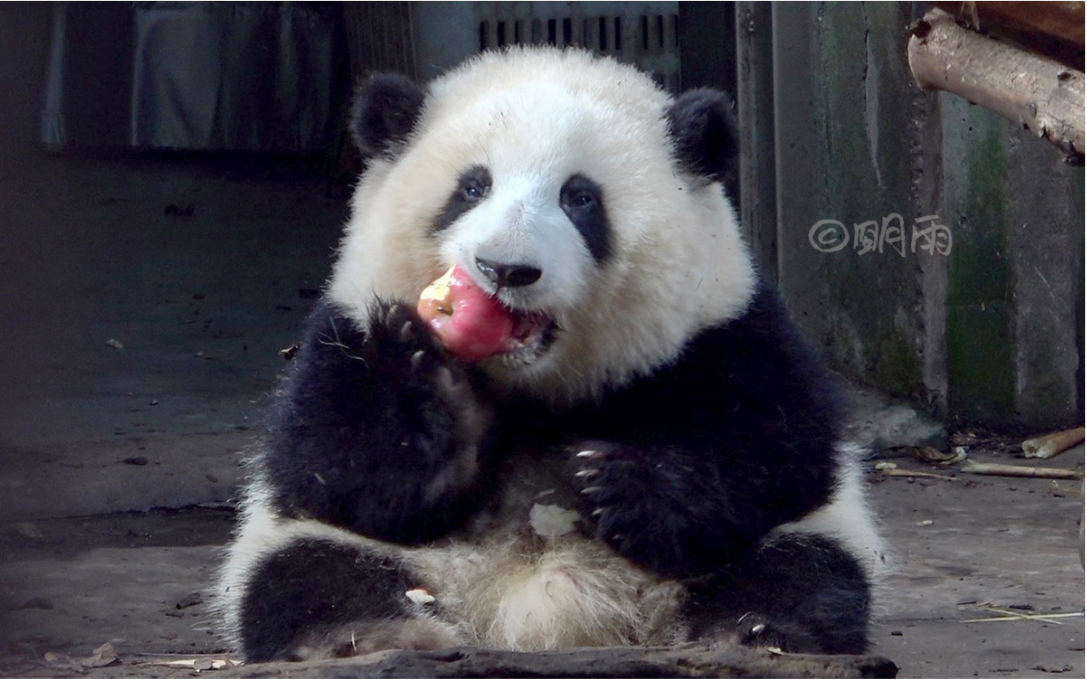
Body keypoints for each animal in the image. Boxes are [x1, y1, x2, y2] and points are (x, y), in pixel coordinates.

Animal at [218, 47, 882, 660]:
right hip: (346, 556)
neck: (533, 391)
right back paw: (367, 638)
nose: (504, 268)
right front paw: (436, 388)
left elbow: (779, 451)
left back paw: (752, 635)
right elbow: (336, 466)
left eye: (579, 198)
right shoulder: (345, 326)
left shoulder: (725, 328)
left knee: (797, 569)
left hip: (777, 552)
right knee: (307, 575)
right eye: (472, 187)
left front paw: (616, 483)